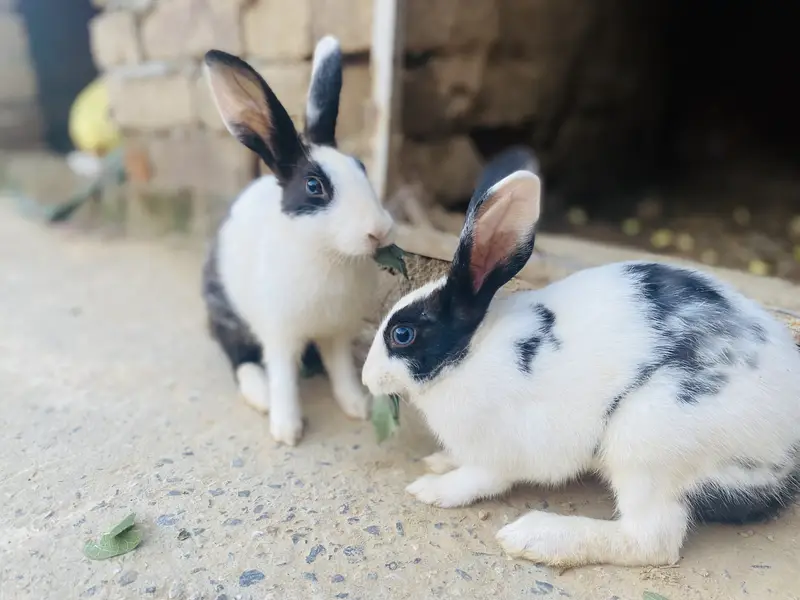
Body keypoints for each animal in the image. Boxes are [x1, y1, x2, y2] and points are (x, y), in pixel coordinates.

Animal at [201, 36, 395, 446]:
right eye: (314, 186)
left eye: (361, 167)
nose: (379, 230)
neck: (330, 255)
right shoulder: (280, 335)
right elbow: (284, 379)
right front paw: (288, 430)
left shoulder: (338, 333)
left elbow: (341, 370)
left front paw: (357, 406)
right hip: (226, 312)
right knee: (239, 356)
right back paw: (260, 395)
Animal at [361, 147, 800, 568]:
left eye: (402, 335)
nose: (367, 378)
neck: (472, 352)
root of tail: (787, 450)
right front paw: (437, 461)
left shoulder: (496, 456)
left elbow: (477, 480)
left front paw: (431, 489)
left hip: (646, 440)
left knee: (652, 541)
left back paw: (534, 538)